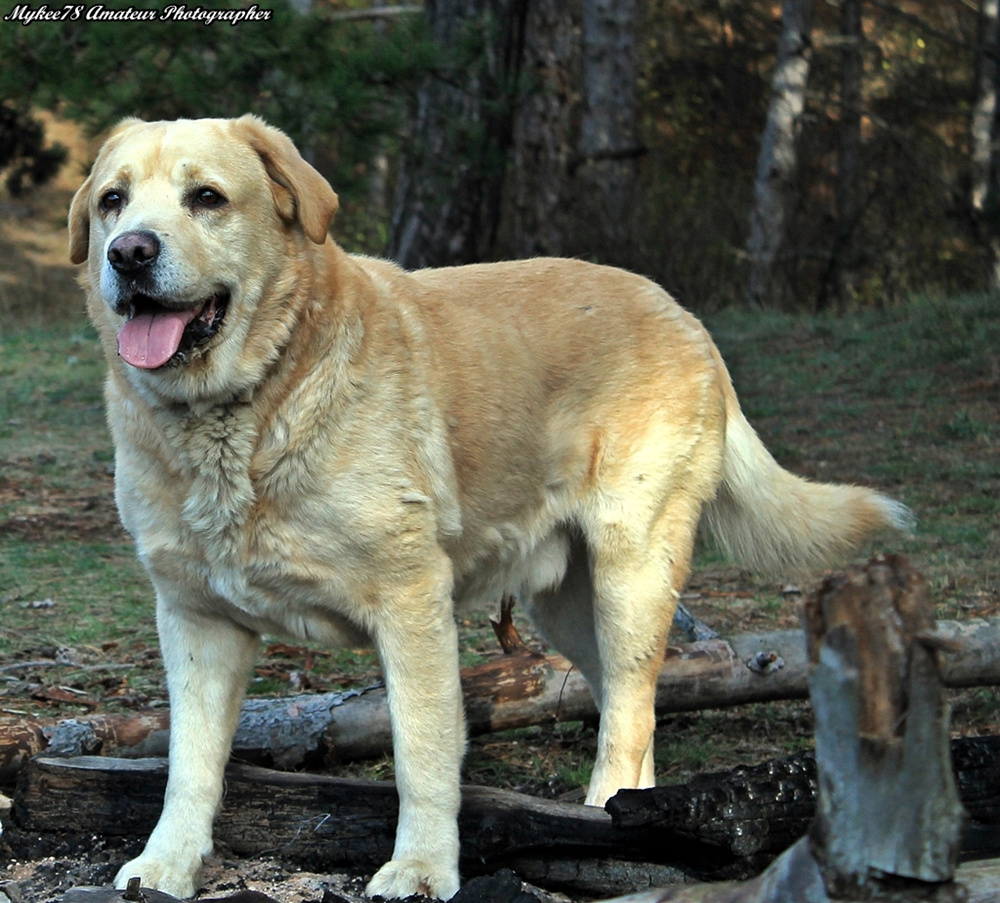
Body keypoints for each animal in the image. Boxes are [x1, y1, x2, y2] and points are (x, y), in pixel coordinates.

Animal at [68, 116, 916, 900]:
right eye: (113, 201)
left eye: (206, 198)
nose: (129, 253)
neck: (247, 412)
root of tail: (682, 313)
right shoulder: (195, 618)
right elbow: (189, 763)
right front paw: (167, 864)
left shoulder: (411, 604)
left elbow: (422, 753)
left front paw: (419, 868)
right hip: (568, 603)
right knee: (630, 704)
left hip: (632, 570)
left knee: (631, 709)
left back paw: (606, 822)